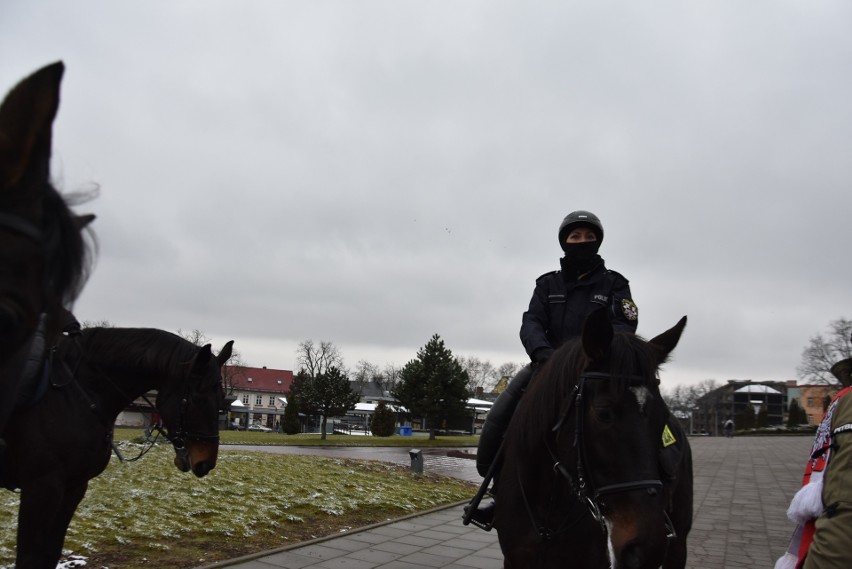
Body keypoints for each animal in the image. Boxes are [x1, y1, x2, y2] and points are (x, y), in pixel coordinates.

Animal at [0, 326, 233, 568]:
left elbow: (49, 554)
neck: (73, 395)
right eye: (198, 399)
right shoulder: (41, 487)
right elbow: (29, 557)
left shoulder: (74, 486)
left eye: (222, 399)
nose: (206, 462)